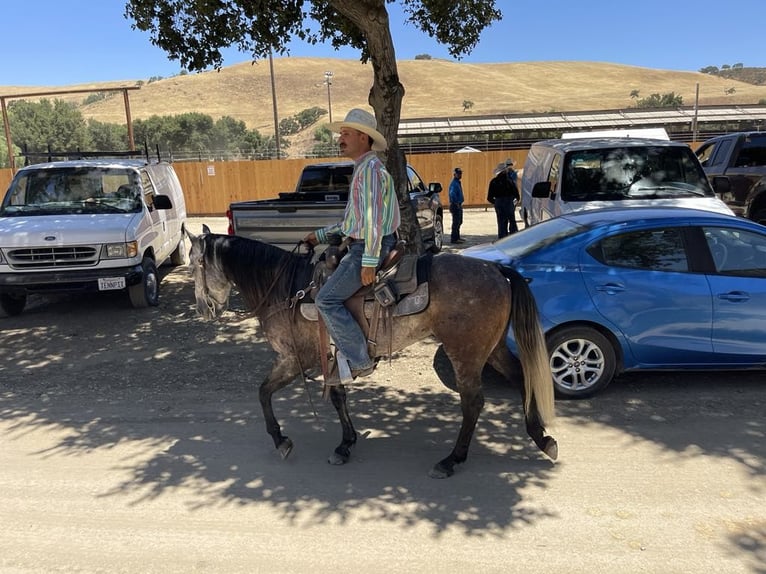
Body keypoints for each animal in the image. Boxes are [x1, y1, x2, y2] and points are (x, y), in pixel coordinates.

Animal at [186, 227, 560, 480]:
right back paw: (542, 438)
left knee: (473, 403)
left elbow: (263, 393)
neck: (285, 289)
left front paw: (281, 440)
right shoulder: (329, 360)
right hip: (491, 348)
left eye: (193, 266)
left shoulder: (292, 360)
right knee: (521, 379)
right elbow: (338, 398)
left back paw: (452, 459)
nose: (204, 310)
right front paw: (346, 444)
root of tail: (497, 270)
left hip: (465, 353)